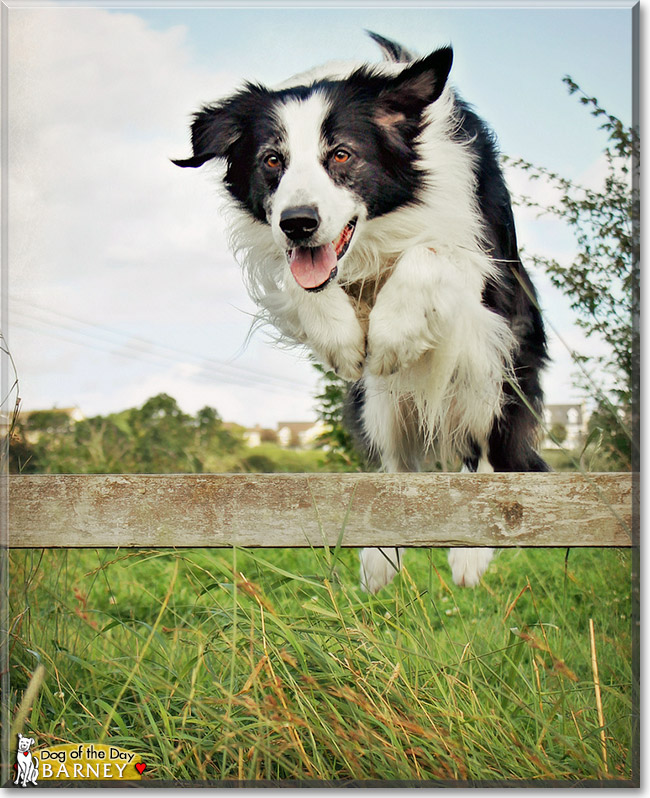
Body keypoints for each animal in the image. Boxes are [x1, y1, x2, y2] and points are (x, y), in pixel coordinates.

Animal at [173, 32, 548, 592]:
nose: (299, 223)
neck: (378, 233)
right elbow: (301, 280)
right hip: (377, 402)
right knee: (395, 462)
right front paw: (343, 339)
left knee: (482, 446)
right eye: (271, 160)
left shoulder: (487, 277)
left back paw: (469, 551)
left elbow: (429, 253)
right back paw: (380, 558)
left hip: (496, 369)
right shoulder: (291, 258)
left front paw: (392, 335)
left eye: (342, 154)